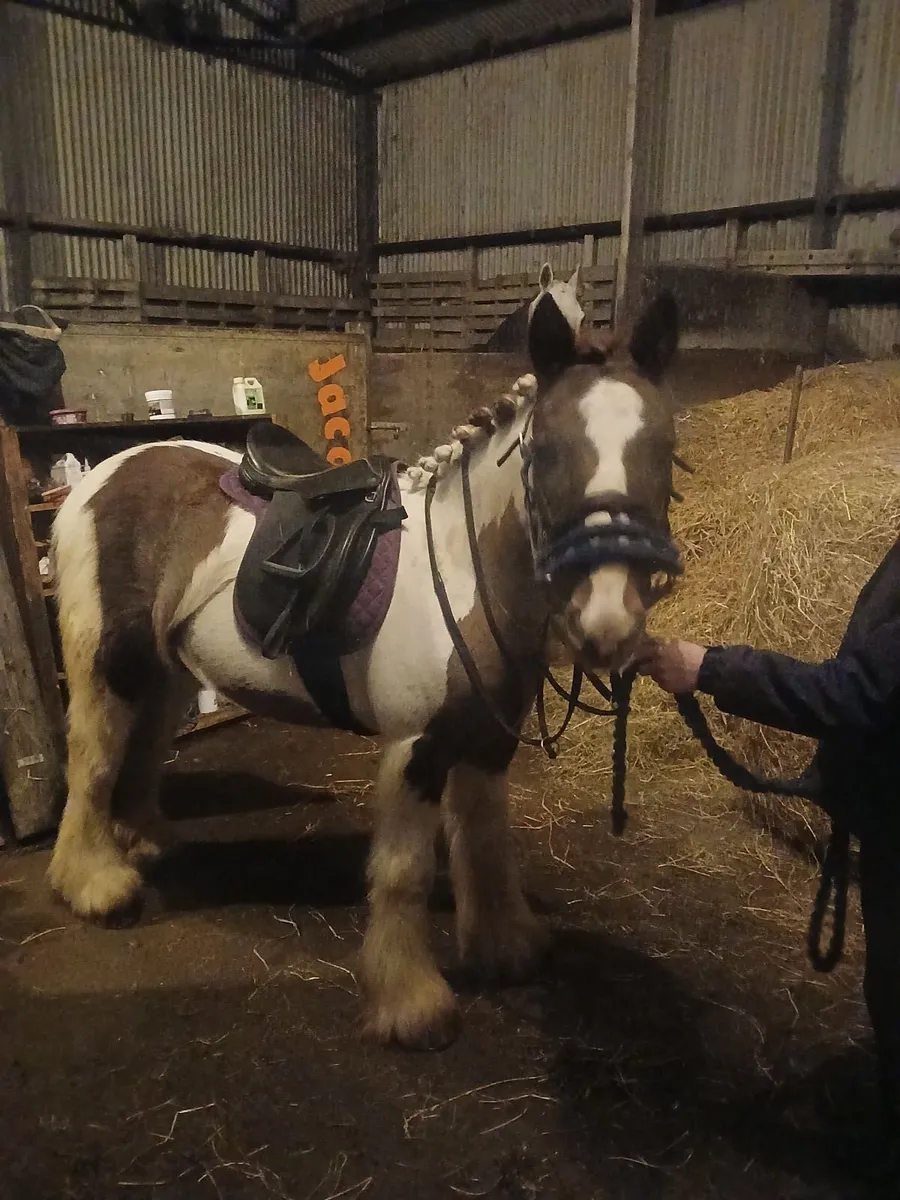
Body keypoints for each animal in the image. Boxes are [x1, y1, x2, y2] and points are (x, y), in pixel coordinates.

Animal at [47, 283, 681, 1050]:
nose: (608, 622)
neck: (463, 573)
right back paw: (94, 884)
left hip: (166, 670)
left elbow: (484, 843)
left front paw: (504, 947)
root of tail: (101, 478)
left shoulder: (486, 743)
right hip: (105, 662)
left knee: (144, 749)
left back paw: (143, 843)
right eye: (548, 450)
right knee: (94, 759)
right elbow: (404, 872)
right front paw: (411, 1004)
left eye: (665, 447)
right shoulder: (415, 747)